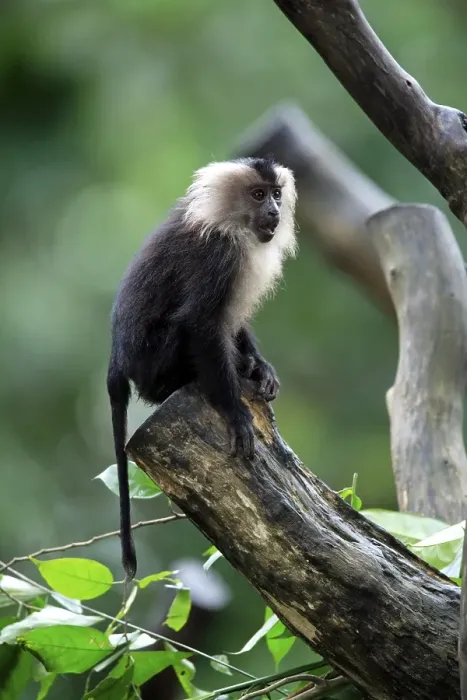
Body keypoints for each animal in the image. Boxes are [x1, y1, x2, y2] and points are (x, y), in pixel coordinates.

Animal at [107, 156, 297, 581]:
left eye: (276, 194)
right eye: (257, 195)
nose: (274, 211)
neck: (230, 224)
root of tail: (116, 359)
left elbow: (232, 323)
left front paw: (260, 367)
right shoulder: (220, 256)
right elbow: (202, 323)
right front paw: (236, 415)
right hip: (156, 363)